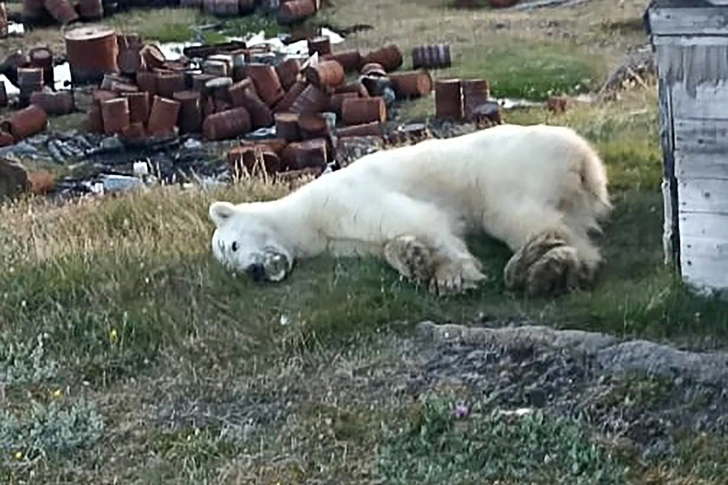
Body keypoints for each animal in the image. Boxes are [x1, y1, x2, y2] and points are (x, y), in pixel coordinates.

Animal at [208, 124, 612, 298]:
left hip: (513, 168)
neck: (305, 217)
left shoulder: (342, 199)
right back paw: (557, 269)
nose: (255, 272)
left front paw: (453, 275)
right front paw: (413, 259)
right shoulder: (340, 240)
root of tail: (583, 155)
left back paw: (539, 268)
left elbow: (415, 218)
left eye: (232, 245)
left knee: (515, 215)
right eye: (231, 267)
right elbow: (385, 243)